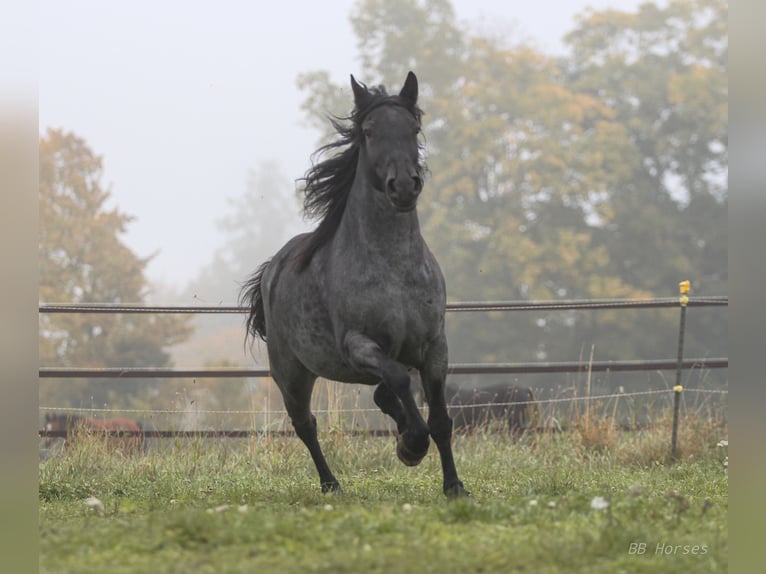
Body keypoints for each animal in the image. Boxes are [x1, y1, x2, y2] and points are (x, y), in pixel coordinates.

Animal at [240, 72, 468, 497]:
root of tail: (272, 269)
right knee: (306, 425)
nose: (404, 187)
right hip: (291, 374)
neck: (394, 268)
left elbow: (441, 420)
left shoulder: (434, 347)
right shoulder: (359, 345)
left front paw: (454, 486)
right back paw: (331, 484)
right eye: (369, 131)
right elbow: (401, 382)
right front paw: (411, 446)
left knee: (381, 395)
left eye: (413, 128)